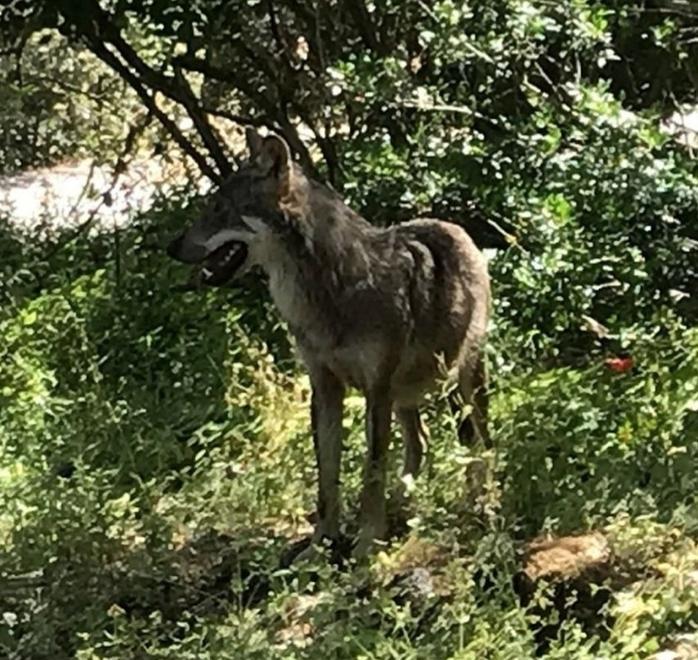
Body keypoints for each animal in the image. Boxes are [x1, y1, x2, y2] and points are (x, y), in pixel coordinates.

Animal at [167, 129, 491, 556]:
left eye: (220, 209)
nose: (171, 247)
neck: (331, 294)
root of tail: (455, 227)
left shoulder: (376, 391)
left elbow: (372, 472)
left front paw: (367, 542)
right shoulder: (324, 388)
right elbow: (327, 479)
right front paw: (321, 544)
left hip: (461, 381)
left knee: (479, 441)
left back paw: (479, 500)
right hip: (407, 396)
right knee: (420, 441)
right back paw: (404, 506)